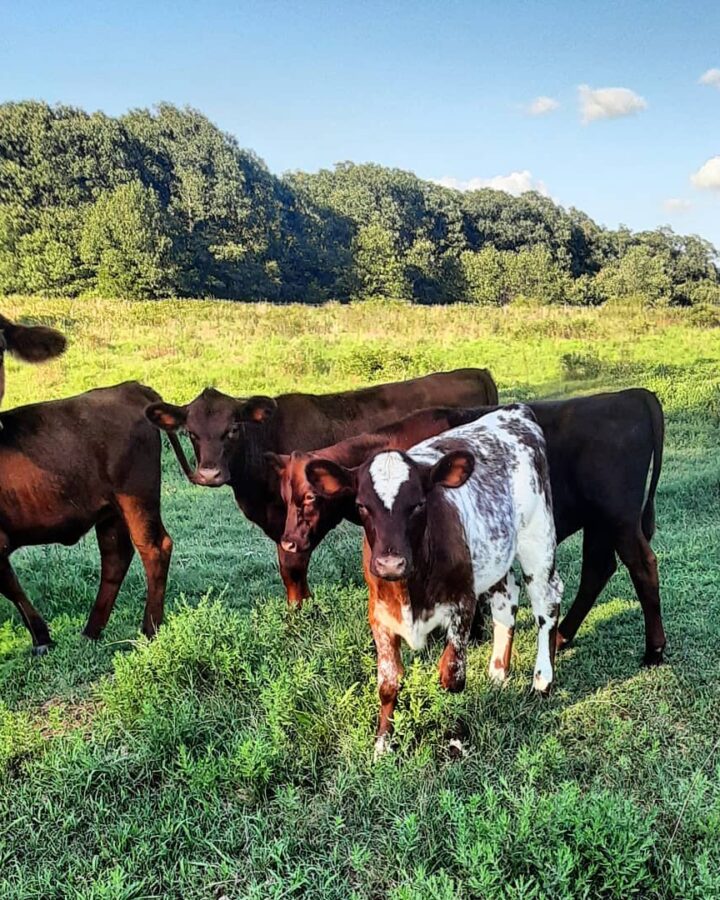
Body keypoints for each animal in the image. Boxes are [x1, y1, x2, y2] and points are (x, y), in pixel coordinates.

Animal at [0, 382, 177, 654]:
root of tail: (128, 388)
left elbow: (11, 589)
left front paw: (42, 639)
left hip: (137, 499)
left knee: (154, 548)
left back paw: (149, 630)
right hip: (111, 513)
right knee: (116, 558)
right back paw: (91, 631)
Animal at [274, 389, 666, 666]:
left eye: (309, 497)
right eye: (284, 495)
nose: (289, 541)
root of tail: (630, 394)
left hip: (619, 518)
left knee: (642, 567)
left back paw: (653, 650)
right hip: (600, 523)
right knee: (598, 569)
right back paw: (562, 636)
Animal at [305, 407, 563, 755]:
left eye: (418, 504)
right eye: (362, 506)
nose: (389, 563)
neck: (409, 590)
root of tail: (513, 411)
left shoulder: (462, 603)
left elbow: (451, 675)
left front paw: (454, 736)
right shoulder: (379, 616)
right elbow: (388, 683)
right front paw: (382, 743)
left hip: (538, 540)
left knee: (546, 602)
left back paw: (541, 680)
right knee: (505, 601)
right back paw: (498, 674)